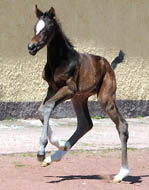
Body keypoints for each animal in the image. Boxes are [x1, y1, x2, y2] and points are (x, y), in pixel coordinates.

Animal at [28, 5, 129, 182]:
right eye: (35, 28)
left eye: (46, 30)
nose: (31, 47)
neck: (60, 60)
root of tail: (109, 65)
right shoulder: (52, 88)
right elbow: (41, 110)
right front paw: (58, 143)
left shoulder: (69, 88)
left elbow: (47, 108)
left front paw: (41, 151)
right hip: (79, 98)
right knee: (85, 123)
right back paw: (59, 152)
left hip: (105, 98)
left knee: (122, 125)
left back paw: (122, 173)